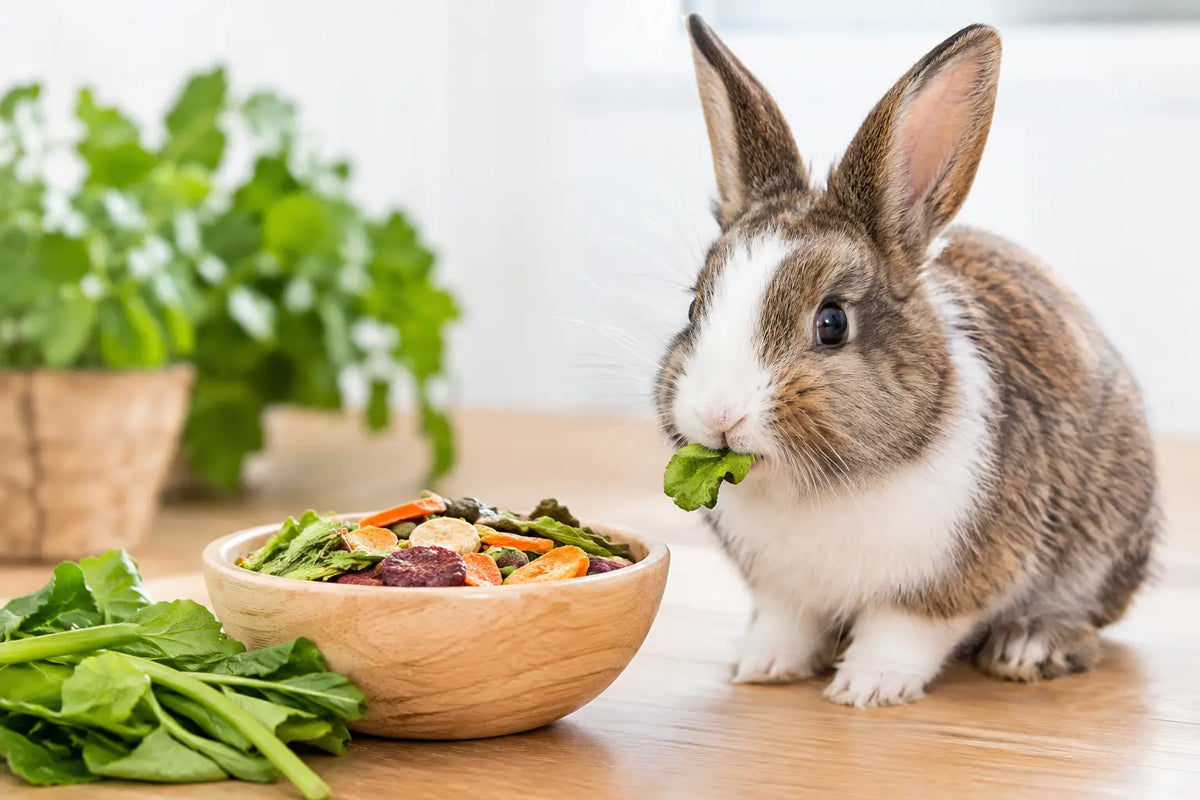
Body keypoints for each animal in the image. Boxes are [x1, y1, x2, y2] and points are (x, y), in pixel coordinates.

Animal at [654, 15, 1159, 707]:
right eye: (692, 306)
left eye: (832, 323)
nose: (719, 414)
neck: (815, 485)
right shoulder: (783, 592)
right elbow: (787, 623)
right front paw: (763, 666)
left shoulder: (948, 584)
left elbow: (905, 630)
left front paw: (867, 686)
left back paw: (1030, 645)